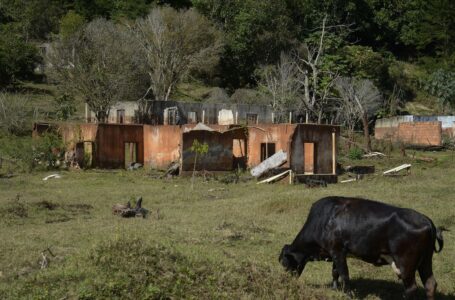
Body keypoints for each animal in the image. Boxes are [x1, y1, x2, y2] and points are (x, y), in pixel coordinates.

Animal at [280, 196, 444, 298]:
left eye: (285, 263)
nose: (287, 281)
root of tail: (427, 221)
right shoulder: (335, 252)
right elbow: (335, 272)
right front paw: (335, 289)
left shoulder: (338, 251)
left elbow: (344, 274)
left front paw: (348, 294)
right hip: (425, 261)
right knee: (430, 284)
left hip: (406, 263)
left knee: (411, 288)